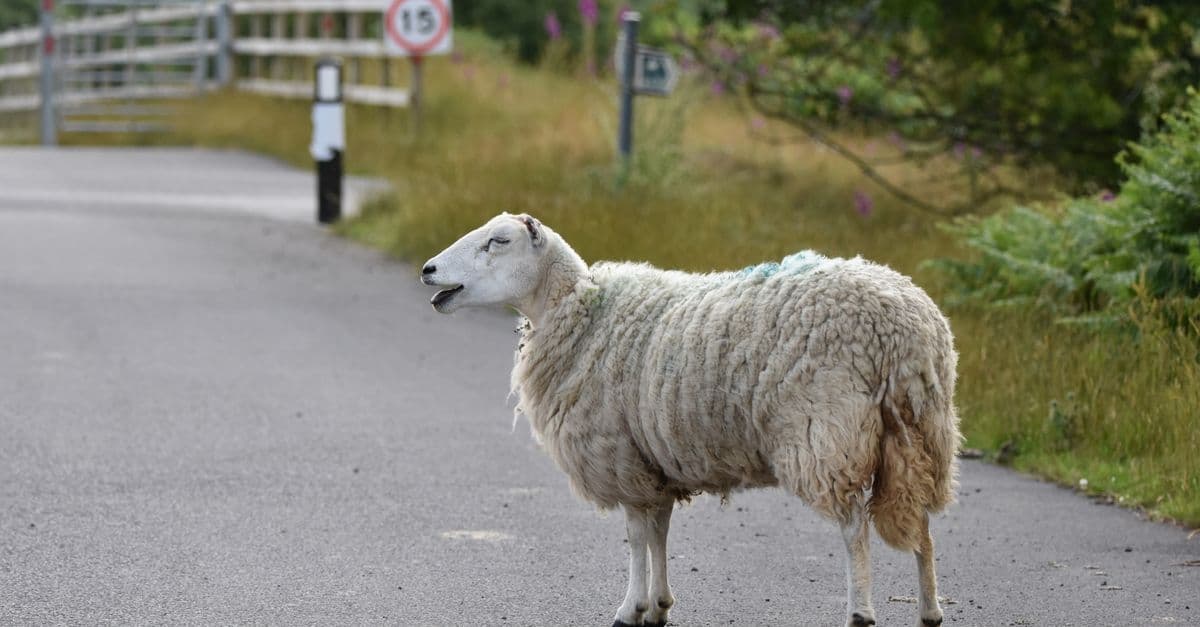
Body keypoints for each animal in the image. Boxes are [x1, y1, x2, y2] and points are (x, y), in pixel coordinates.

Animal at [421, 213, 961, 627]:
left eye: (498, 241)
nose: (428, 269)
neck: (579, 313)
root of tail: (903, 329)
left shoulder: (620, 455)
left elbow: (637, 535)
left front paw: (630, 609)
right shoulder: (652, 462)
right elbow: (659, 530)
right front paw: (659, 605)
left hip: (826, 432)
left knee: (853, 528)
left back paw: (861, 612)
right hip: (922, 434)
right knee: (923, 525)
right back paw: (930, 611)